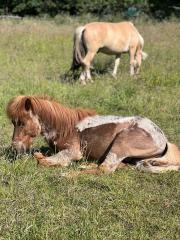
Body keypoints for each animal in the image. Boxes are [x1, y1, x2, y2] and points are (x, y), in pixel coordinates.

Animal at [6, 95, 180, 174]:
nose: (15, 149)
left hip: (121, 143)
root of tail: (163, 139)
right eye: (13, 123)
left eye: (22, 123)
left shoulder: (72, 152)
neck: (65, 127)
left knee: (105, 169)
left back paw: (68, 173)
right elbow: (39, 154)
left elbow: (43, 161)